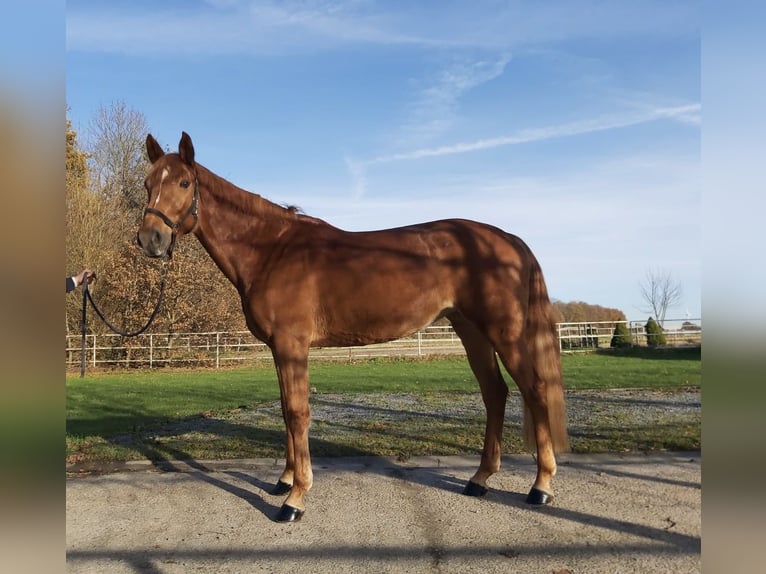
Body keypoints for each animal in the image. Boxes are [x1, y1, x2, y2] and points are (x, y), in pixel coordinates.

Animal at [138, 133, 568, 524]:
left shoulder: (292, 345)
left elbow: (297, 412)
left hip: (505, 332)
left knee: (535, 390)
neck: (271, 250)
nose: (150, 239)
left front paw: (295, 499)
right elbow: (285, 411)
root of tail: (509, 240)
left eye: (184, 183)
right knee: (495, 393)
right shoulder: (280, 349)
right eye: (147, 183)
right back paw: (479, 479)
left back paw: (541, 486)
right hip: (471, 330)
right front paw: (284, 479)